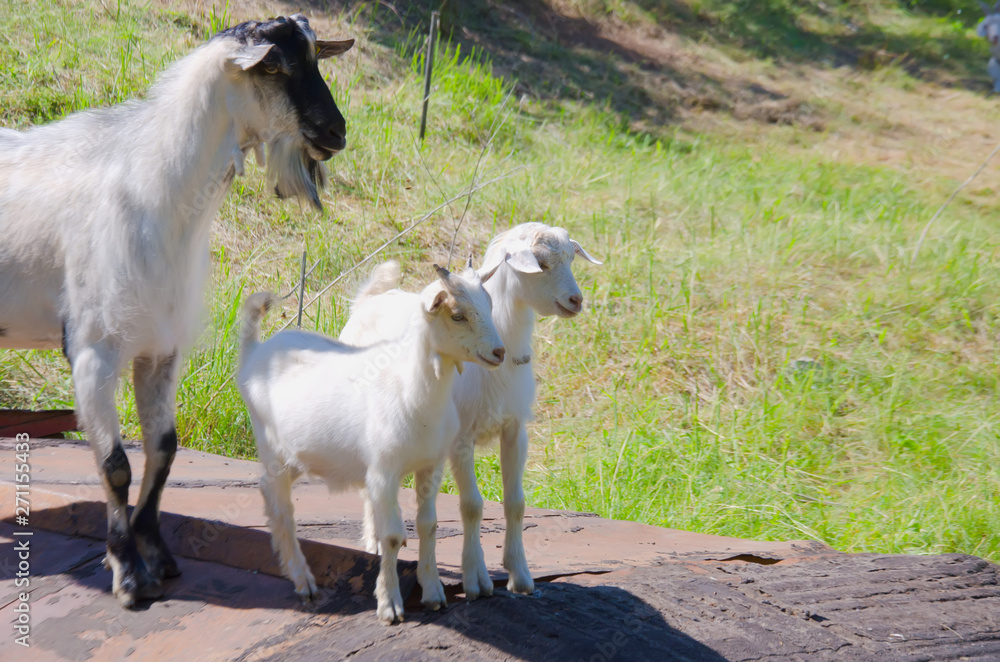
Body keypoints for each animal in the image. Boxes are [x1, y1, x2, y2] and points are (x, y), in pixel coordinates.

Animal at [0, 15, 353, 608]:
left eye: (315, 58)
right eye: (274, 67)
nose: (336, 133)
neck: (152, 195)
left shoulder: (161, 350)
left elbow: (164, 450)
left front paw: (157, 555)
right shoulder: (93, 352)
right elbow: (115, 465)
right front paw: (126, 573)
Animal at [237, 262, 506, 624]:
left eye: (489, 306)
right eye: (458, 315)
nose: (499, 352)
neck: (410, 388)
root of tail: (255, 351)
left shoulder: (430, 466)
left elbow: (428, 525)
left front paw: (433, 593)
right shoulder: (383, 471)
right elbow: (391, 536)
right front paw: (389, 605)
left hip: (297, 455)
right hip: (271, 447)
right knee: (279, 506)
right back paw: (303, 580)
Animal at [340, 223, 601, 600]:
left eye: (570, 258)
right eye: (540, 263)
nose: (576, 300)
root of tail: (369, 299)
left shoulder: (515, 430)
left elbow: (516, 502)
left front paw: (520, 575)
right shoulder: (460, 440)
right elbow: (472, 505)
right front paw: (475, 579)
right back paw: (375, 541)